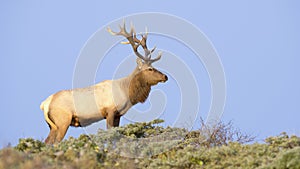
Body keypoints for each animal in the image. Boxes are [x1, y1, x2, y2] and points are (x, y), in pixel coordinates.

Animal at [39, 22, 169, 144]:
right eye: (150, 69)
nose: (165, 76)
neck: (126, 92)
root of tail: (45, 104)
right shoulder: (110, 111)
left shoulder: (118, 115)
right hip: (62, 121)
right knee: (55, 142)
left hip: (52, 126)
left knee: (47, 142)